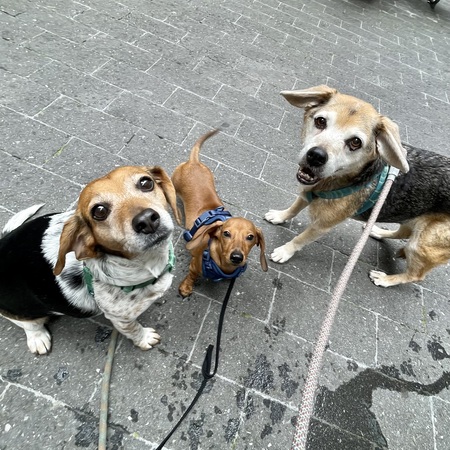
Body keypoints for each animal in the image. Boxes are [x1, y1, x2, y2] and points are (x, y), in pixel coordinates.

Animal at [0, 166, 179, 356]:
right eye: (99, 211)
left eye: (146, 183)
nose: (146, 220)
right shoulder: (121, 319)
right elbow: (134, 330)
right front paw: (144, 338)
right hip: (20, 310)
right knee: (28, 324)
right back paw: (37, 338)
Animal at [171, 129, 266, 298]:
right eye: (226, 233)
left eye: (250, 237)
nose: (237, 257)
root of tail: (193, 162)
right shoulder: (194, 265)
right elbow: (192, 275)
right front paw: (186, 288)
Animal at [266, 84, 450, 286]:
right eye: (320, 121)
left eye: (355, 142)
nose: (316, 156)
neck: (331, 182)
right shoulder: (307, 191)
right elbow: (294, 208)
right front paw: (280, 216)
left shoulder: (321, 226)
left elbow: (300, 239)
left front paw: (285, 251)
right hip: (413, 220)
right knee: (402, 233)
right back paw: (377, 231)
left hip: (422, 244)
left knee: (415, 275)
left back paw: (385, 279)